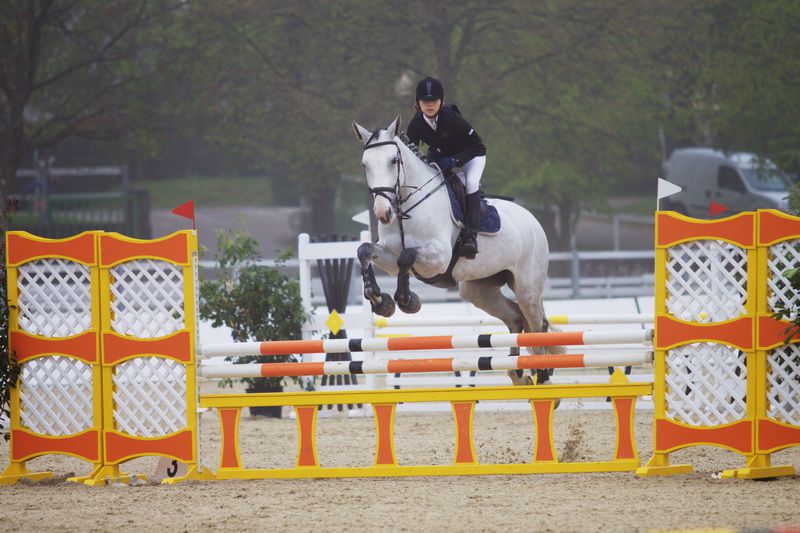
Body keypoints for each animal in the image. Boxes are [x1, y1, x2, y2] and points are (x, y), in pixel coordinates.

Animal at [354, 115, 564, 386]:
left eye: (393, 160)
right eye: (365, 164)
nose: (383, 212)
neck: (406, 208)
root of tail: (532, 220)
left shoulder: (439, 258)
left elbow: (407, 257)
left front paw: (407, 300)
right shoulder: (388, 255)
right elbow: (365, 250)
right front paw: (379, 300)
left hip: (527, 288)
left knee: (538, 326)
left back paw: (542, 376)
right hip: (477, 290)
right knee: (516, 317)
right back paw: (518, 373)